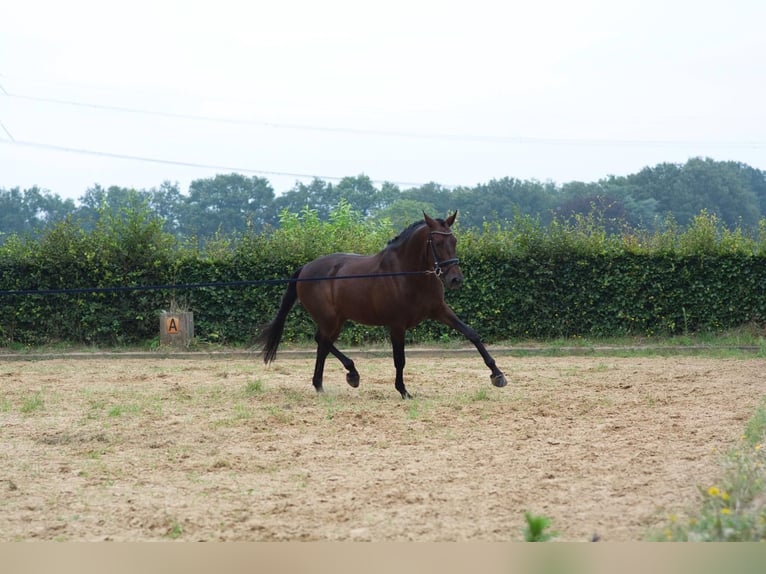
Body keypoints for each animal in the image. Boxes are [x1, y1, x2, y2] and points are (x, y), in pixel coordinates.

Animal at [258, 212, 510, 400]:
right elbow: (400, 359)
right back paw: (350, 374)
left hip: (338, 319)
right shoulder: (397, 324)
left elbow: (472, 334)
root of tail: (305, 269)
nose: (455, 279)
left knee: (322, 343)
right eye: (437, 242)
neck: (407, 273)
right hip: (330, 319)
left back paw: (322, 384)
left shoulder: (440, 311)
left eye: (454, 241)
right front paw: (403, 391)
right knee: (322, 340)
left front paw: (497, 375)